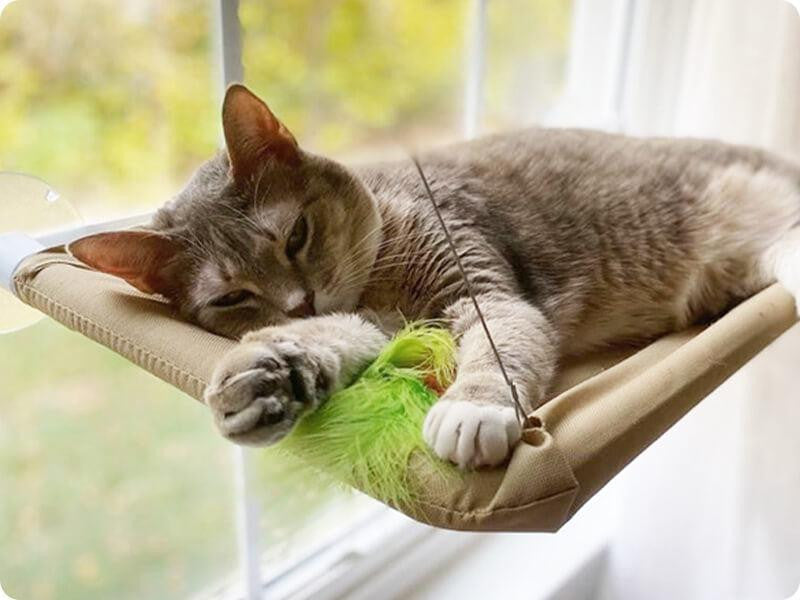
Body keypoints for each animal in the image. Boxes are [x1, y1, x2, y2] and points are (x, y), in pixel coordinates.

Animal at [70, 84, 800, 468]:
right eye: (231, 297)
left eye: (296, 236)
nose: (301, 303)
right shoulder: (381, 324)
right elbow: (334, 339)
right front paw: (267, 372)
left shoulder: (482, 291)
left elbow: (498, 349)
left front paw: (474, 407)